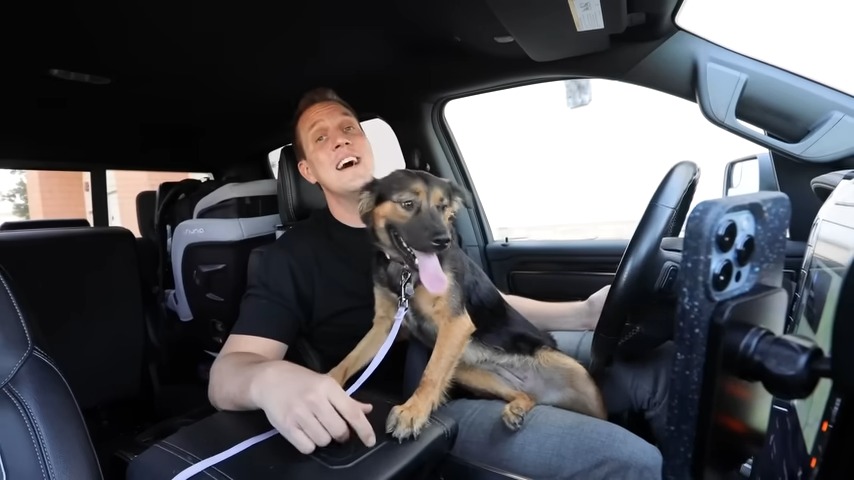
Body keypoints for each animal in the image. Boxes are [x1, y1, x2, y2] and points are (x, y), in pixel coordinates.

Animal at [330, 171, 608, 440]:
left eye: (442, 207)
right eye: (407, 203)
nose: (443, 240)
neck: (405, 272)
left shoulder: (456, 323)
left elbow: (430, 374)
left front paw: (413, 411)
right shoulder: (385, 325)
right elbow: (348, 360)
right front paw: (326, 386)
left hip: (576, 375)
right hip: (472, 373)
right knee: (527, 395)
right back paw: (517, 408)